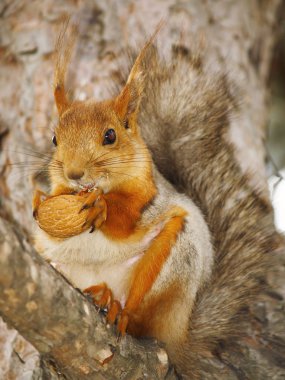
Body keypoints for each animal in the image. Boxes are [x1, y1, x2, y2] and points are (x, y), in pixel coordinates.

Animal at [32, 26, 280, 378]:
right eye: (54, 139)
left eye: (110, 135)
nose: (74, 173)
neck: (100, 188)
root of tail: (180, 335)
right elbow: (51, 218)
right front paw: (40, 202)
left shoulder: (148, 196)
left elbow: (126, 220)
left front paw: (102, 209)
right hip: (65, 269)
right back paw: (100, 295)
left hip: (176, 261)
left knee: (141, 318)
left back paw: (118, 309)